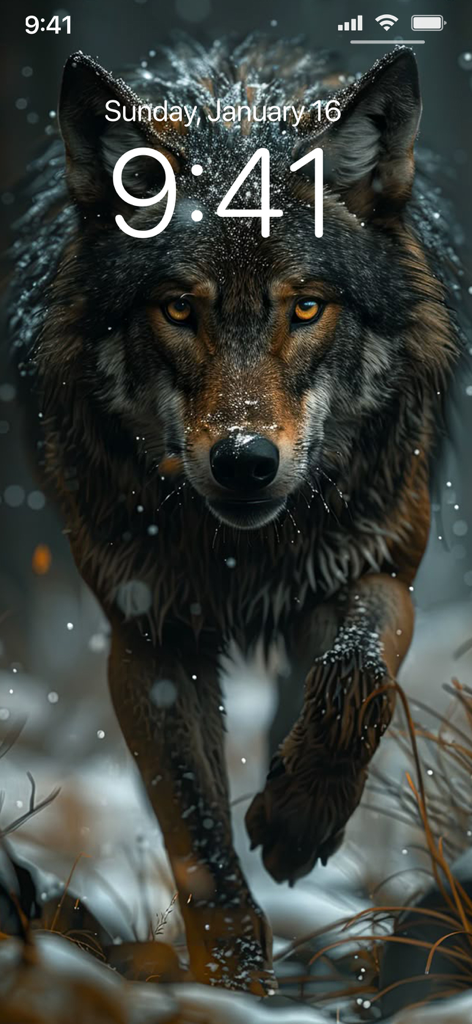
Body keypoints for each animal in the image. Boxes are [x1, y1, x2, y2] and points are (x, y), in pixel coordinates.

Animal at [7, 37, 461, 992]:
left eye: (307, 306)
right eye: (179, 308)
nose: (246, 462)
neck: (241, 554)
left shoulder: (378, 562)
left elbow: (362, 667)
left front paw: (297, 819)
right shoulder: (150, 639)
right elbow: (201, 851)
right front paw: (235, 988)